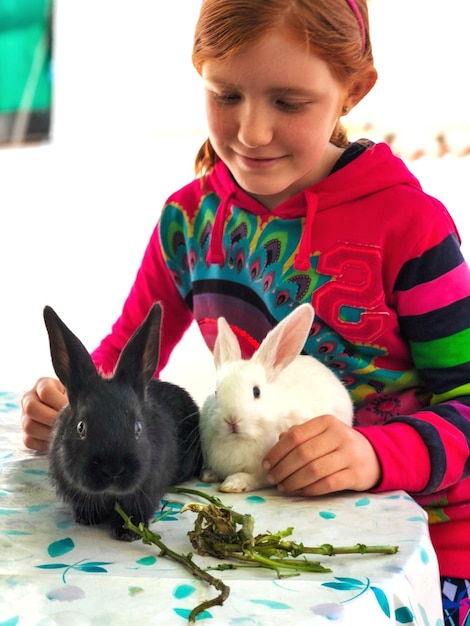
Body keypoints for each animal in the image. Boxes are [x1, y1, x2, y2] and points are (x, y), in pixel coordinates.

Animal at [42, 302, 200, 536]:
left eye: (138, 428)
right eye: (81, 427)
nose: (112, 470)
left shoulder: (146, 493)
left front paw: (128, 532)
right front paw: (87, 518)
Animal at [198, 302, 352, 492]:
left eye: (256, 392)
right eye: (216, 391)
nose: (231, 420)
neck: (240, 439)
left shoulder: (265, 473)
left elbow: (255, 479)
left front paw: (233, 483)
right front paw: (208, 475)